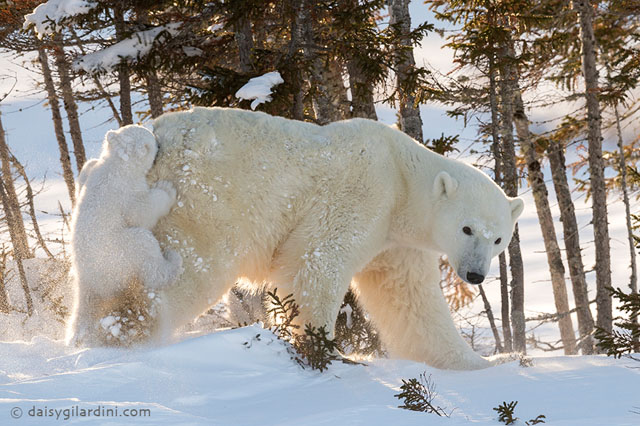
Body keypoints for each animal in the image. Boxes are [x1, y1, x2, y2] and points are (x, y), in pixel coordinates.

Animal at [68, 125, 181, 344]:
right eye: (150, 142)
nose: (160, 144)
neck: (117, 167)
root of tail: (88, 281)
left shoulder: (92, 170)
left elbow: (86, 168)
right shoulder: (126, 193)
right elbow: (142, 212)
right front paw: (167, 189)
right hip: (118, 252)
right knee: (145, 246)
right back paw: (173, 260)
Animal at [148, 107, 524, 370]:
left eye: (498, 239)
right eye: (467, 228)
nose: (475, 274)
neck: (401, 175)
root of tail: (157, 134)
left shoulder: (398, 242)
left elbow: (413, 301)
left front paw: (491, 362)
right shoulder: (363, 194)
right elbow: (316, 263)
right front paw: (328, 351)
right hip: (205, 201)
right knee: (187, 270)